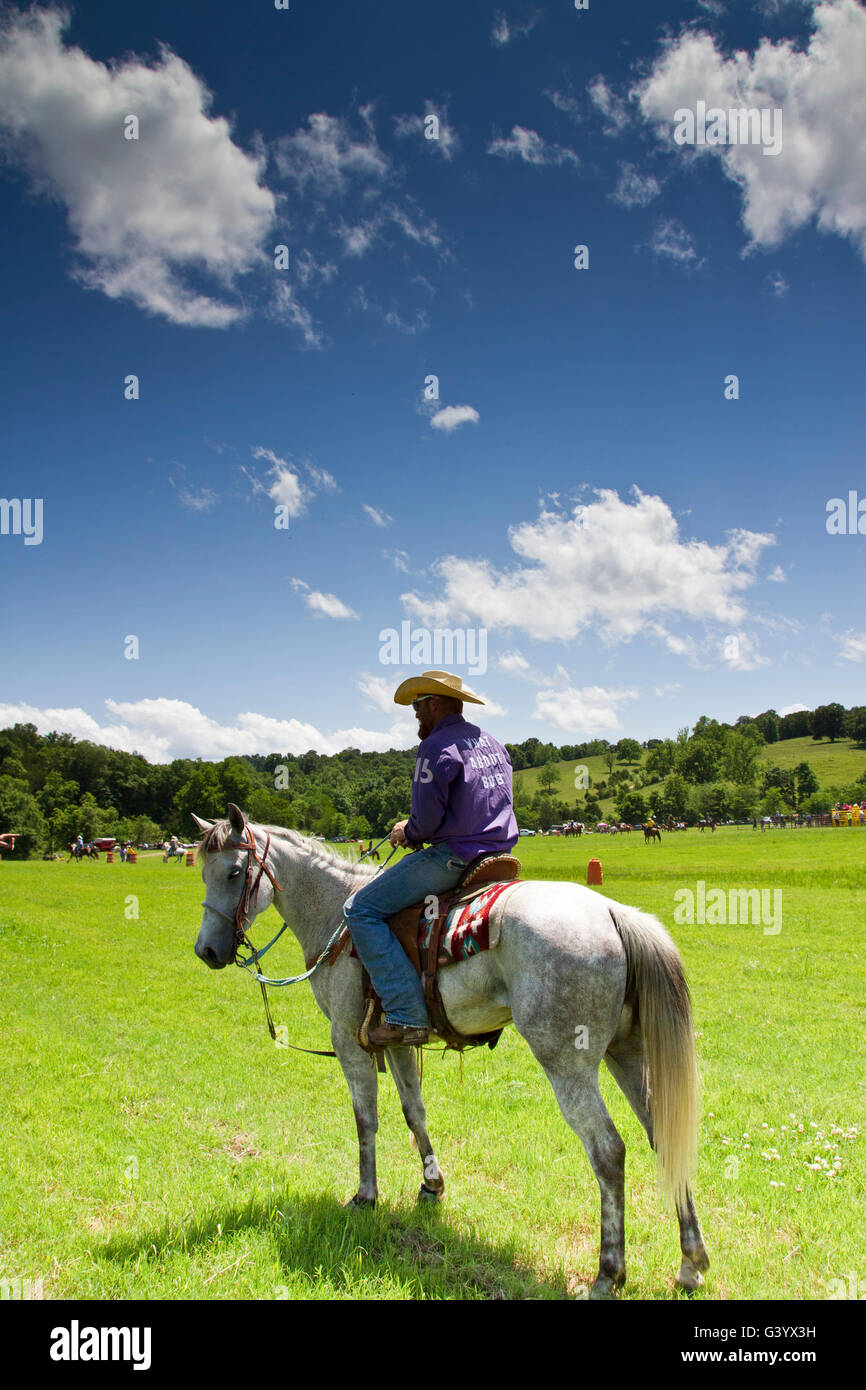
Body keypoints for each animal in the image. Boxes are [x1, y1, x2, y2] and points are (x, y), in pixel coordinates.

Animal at [193, 811, 708, 1295]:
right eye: (203, 872)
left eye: (235, 872)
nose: (206, 951)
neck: (336, 916)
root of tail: (612, 912)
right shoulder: (395, 1041)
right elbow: (413, 1112)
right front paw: (431, 1184)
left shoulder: (347, 1041)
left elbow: (366, 1120)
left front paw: (365, 1196)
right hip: (626, 1052)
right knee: (663, 1134)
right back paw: (690, 1263)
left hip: (568, 1064)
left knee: (608, 1151)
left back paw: (607, 1274)